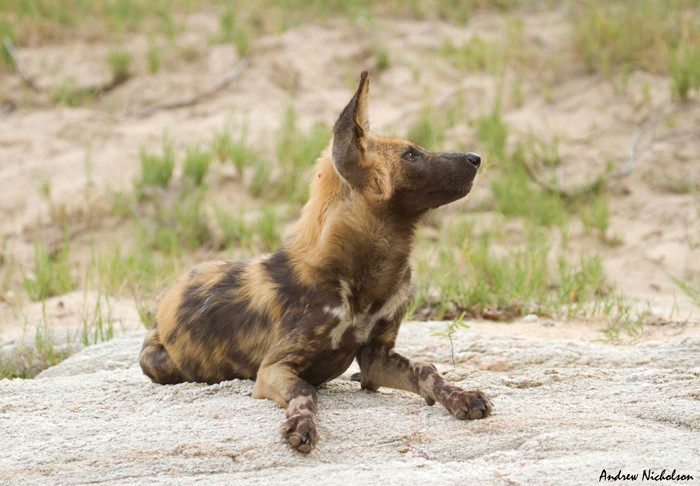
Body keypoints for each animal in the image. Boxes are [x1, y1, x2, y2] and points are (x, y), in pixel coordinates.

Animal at [139, 71, 492, 452]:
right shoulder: (274, 369)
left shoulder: (377, 360)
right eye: (411, 154)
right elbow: (306, 391)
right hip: (157, 363)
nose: (475, 158)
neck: (362, 273)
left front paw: (461, 396)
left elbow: (427, 370)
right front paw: (301, 425)